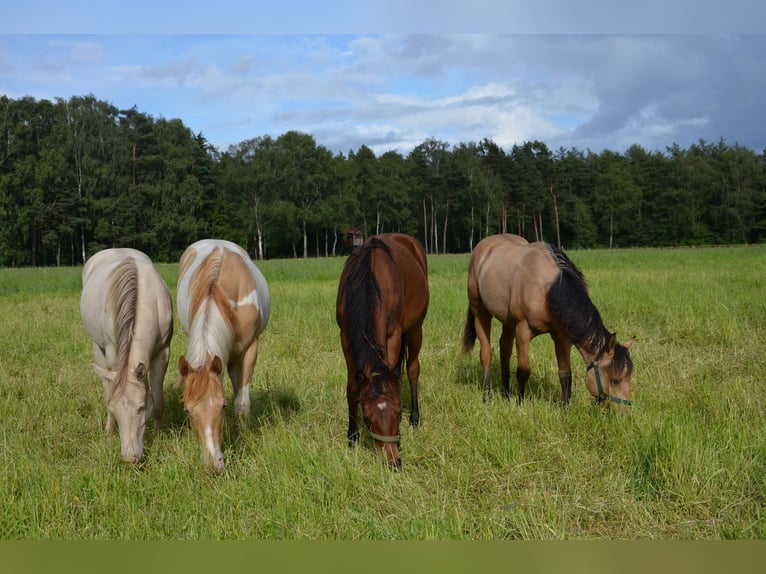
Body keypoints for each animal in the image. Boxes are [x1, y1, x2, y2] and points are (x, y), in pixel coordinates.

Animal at [80, 250, 176, 466]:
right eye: (116, 409)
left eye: (141, 408)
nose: (131, 458)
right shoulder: (112, 352)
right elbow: (110, 391)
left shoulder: (163, 352)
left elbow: (157, 401)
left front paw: (159, 438)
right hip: (98, 348)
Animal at [176, 240, 272, 476]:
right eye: (187, 410)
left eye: (222, 406)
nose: (214, 465)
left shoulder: (249, 350)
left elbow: (242, 403)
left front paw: (243, 432)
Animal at [338, 234, 432, 472]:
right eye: (368, 418)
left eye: (398, 413)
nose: (395, 462)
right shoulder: (345, 335)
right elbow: (352, 386)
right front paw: (352, 437)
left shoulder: (394, 334)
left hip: (416, 328)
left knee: (412, 369)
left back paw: (415, 418)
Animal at [462, 235, 636, 410]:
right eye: (614, 380)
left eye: (629, 377)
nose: (626, 412)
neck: (549, 289)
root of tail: (483, 245)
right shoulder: (523, 330)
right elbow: (523, 370)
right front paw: (520, 403)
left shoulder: (561, 336)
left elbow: (565, 373)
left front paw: (566, 408)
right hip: (480, 311)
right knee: (486, 353)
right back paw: (487, 396)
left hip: (508, 321)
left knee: (505, 349)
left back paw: (505, 394)